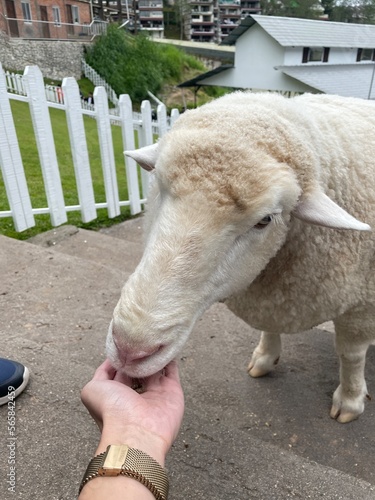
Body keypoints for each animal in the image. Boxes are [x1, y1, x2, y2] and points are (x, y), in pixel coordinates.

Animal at [106, 93, 375, 422]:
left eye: (265, 220)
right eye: (158, 182)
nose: (130, 349)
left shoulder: (362, 306)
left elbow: (351, 355)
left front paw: (350, 400)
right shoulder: (273, 299)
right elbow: (269, 325)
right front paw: (264, 358)